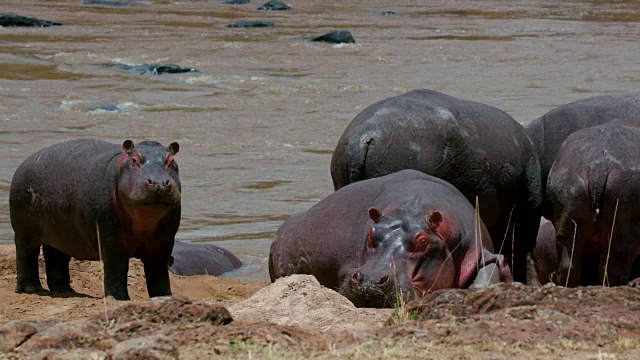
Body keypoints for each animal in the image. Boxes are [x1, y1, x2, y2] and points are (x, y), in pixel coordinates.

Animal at [10, 139, 181, 300]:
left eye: (171, 160)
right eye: (134, 160)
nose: (159, 183)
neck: (144, 224)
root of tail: (24, 163)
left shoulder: (162, 245)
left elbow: (158, 273)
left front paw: (164, 296)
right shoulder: (111, 240)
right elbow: (116, 267)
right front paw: (118, 298)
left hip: (60, 235)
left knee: (56, 257)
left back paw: (65, 291)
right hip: (24, 233)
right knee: (26, 255)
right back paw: (31, 289)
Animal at [268, 170, 512, 308]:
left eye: (422, 241)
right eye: (370, 233)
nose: (370, 280)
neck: (412, 208)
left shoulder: (483, 251)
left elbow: (485, 277)